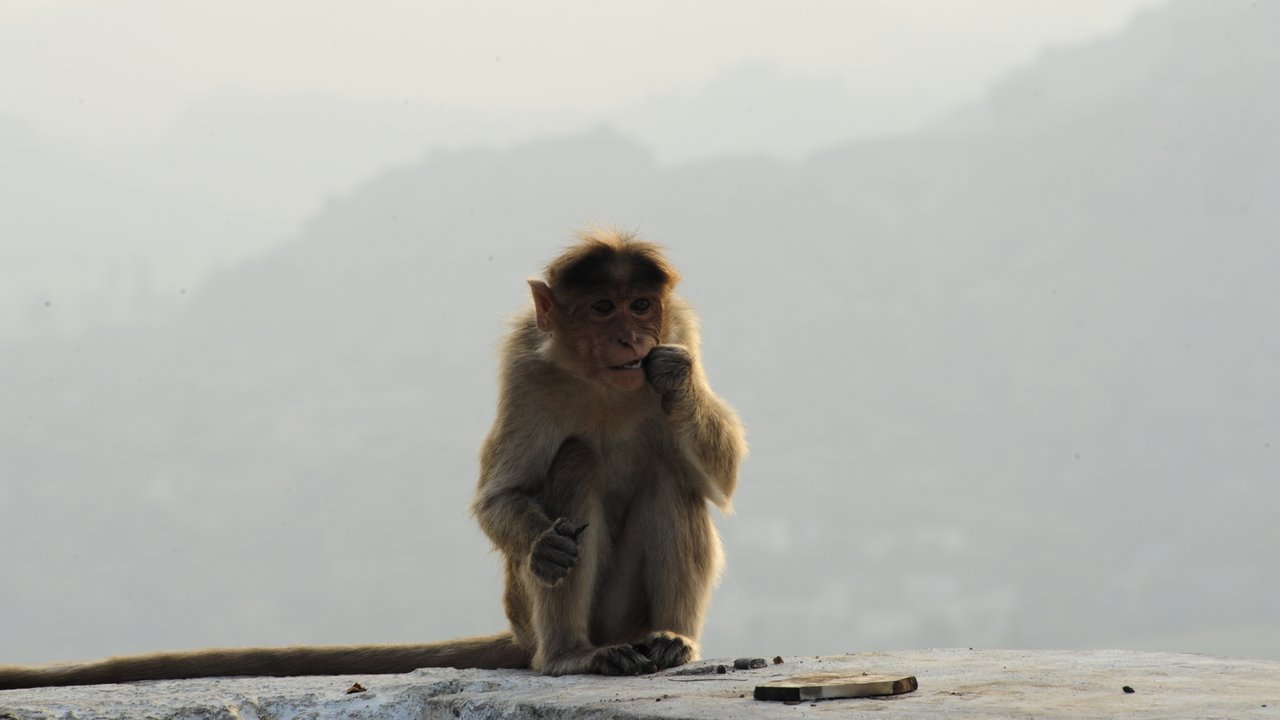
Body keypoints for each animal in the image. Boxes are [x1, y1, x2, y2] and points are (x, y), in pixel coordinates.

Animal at [0, 226, 747, 686]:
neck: (600, 383)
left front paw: (673, 379)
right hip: (530, 611)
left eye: (642, 305)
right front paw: (542, 539)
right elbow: (499, 497)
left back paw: (669, 642)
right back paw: (570, 657)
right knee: (577, 463)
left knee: (673, 479)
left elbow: (723, 476)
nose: (631, 338)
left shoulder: (683, 329)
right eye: (602, 308)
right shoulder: (525, 372)